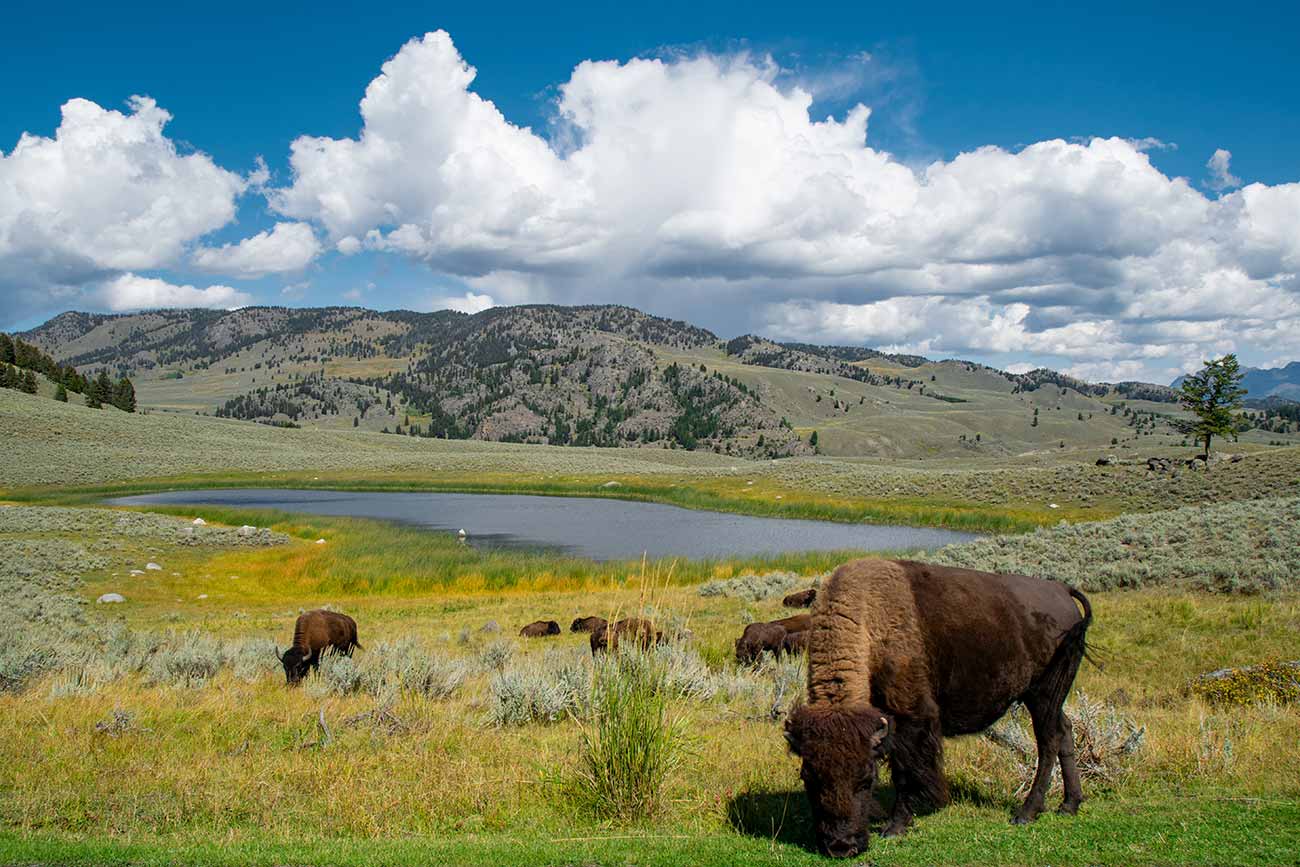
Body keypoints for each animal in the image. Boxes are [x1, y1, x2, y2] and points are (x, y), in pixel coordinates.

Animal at [780, 558, 1097, 857]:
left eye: (867, 779)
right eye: (808, 778)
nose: (841, 846)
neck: (870, 619)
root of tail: (1061, 589)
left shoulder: (910, 717)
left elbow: (905, 772)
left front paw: (895, 826)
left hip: (1044, 693)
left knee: (1048, 741)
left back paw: (1026, 812)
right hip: (1051, 697)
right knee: (1065, 730)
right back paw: (1069, 805)